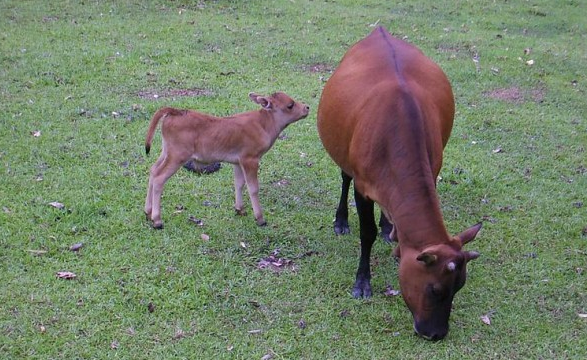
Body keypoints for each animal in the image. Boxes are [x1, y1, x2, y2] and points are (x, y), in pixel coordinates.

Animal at [144, 91, 310, 229]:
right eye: (290, 105)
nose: (307, 107)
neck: (264, 124)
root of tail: (176, 111)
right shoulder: (250, 159)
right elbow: (253, 188)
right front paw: (260, 218)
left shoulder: (237, 161)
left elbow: (239, 184)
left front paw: (240, 209)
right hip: (178, 156)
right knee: (159, 178)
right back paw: (157, 220)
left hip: (166, 152)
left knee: (153, 170)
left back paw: (148, 212)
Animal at [316, 26, 482, 340]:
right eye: (435, 289)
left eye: (460, 287)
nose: (436, 334)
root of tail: (379, 31)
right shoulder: (363, 185)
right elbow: (365, 232)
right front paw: (362, 282)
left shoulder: (433, 167)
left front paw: (392, 236)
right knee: (344, 177)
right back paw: (342, 220)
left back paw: (388, 227)